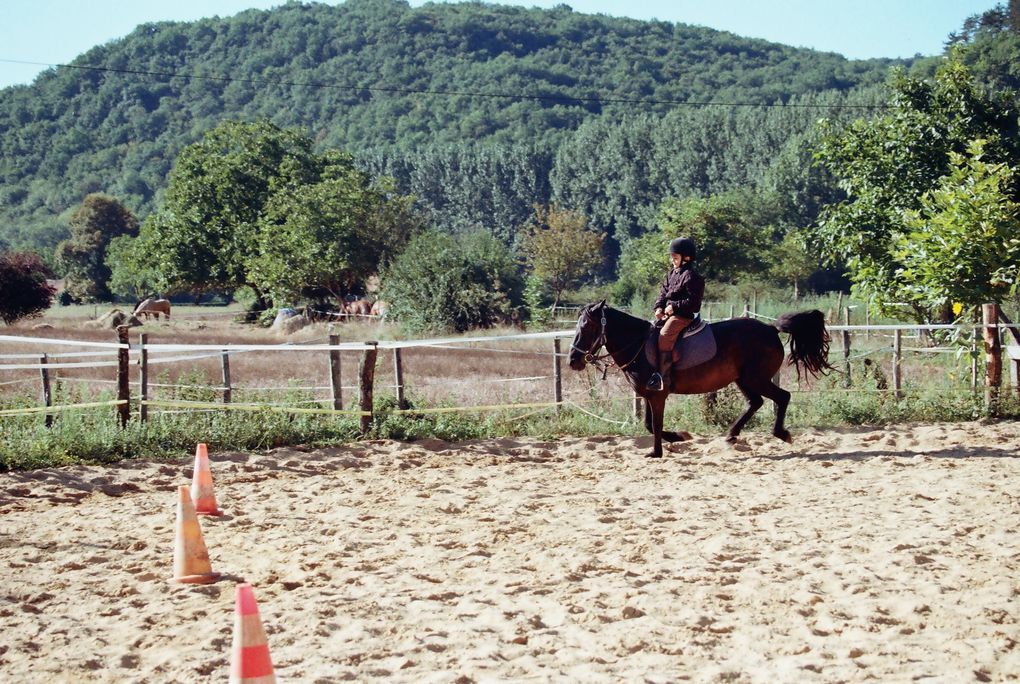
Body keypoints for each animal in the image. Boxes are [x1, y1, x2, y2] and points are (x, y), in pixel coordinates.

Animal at [571, 301, 832, 456]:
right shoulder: (648, 395)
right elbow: (649, 424)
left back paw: (781, 433)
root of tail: (770, 328)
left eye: (587, 327)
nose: (573, 361)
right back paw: (731, 435)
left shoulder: (658, 394)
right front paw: (678, 437)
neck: (639, 345)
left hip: (756, 378)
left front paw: (658, 451)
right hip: (743, 380)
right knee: (755, 402)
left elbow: (656, 424)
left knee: (782, 397)